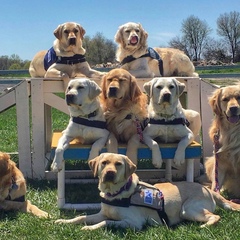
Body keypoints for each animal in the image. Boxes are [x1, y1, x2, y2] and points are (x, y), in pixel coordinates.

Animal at [54, 153, 240, 230]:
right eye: (104, 163)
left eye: (118, 164)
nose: (109, 173)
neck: (115, 194)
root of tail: (208, 189)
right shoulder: (101, 213)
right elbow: (81, 217)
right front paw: (64, 221)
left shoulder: (133, 223)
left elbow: (106, 222)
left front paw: (89, 229)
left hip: (189, 209)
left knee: (215, 216)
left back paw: (204, 226)